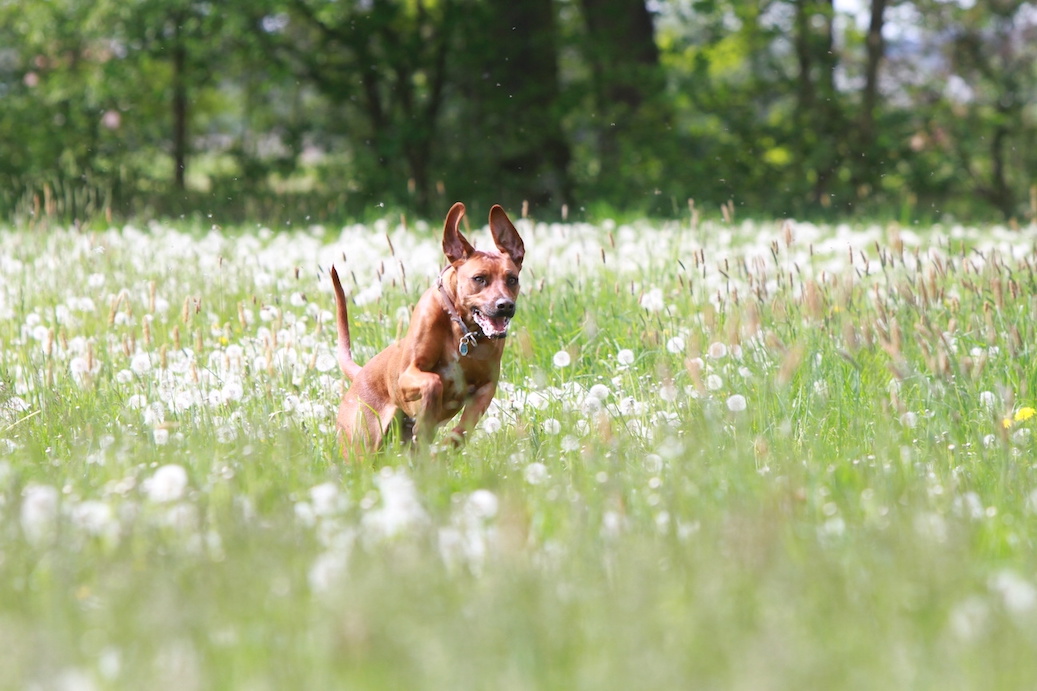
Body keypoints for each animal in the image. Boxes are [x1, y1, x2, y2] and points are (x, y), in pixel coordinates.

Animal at [331, 202, 526, 454]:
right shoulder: (407, 375)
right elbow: (433, 382)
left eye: (512, 279)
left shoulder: (486, 387)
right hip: (361, 442)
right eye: (479, 278)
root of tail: (360, 373)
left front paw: (441, 450)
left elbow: (461, 431)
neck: (462, 331)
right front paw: (425, 421)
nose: (505, 306)